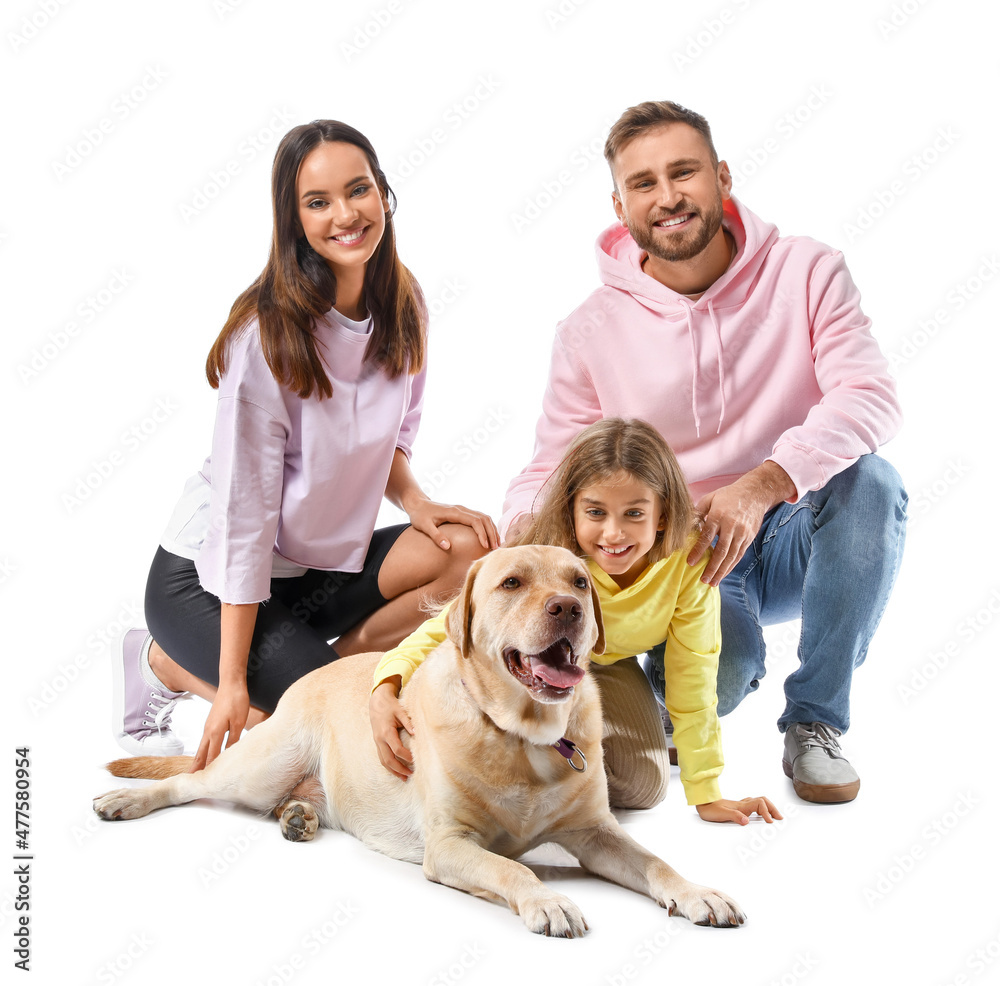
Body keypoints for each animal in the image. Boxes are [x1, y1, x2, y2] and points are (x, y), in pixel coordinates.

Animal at [95, 540, 744, 936]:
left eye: (580, 582)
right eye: (512, 583)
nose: (567, 607)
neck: (522, 738)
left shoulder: (596, 833)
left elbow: (656, 861)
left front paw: (698, 892)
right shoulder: (450, 846)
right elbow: (514, 870)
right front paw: (549, 900)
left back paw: (300, 815)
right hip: (259, 765)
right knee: (190, 781)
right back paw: (127, 799)